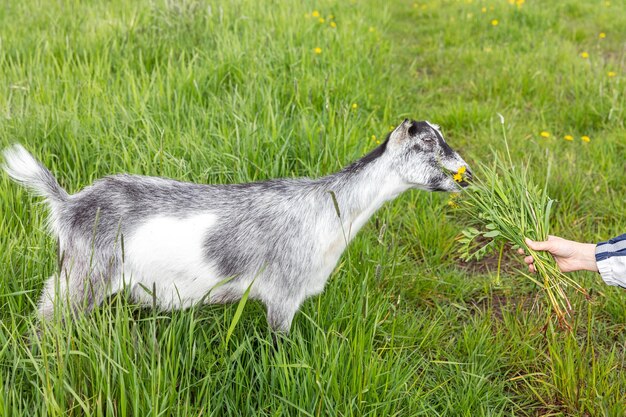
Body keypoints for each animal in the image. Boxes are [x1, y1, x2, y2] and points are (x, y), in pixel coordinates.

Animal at [3, 118, 468, 332]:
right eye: (429, 143)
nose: (464, 171)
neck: (328, 208)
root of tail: (69, 204)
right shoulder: (284, 294)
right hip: (84, 278)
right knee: (47, 321)